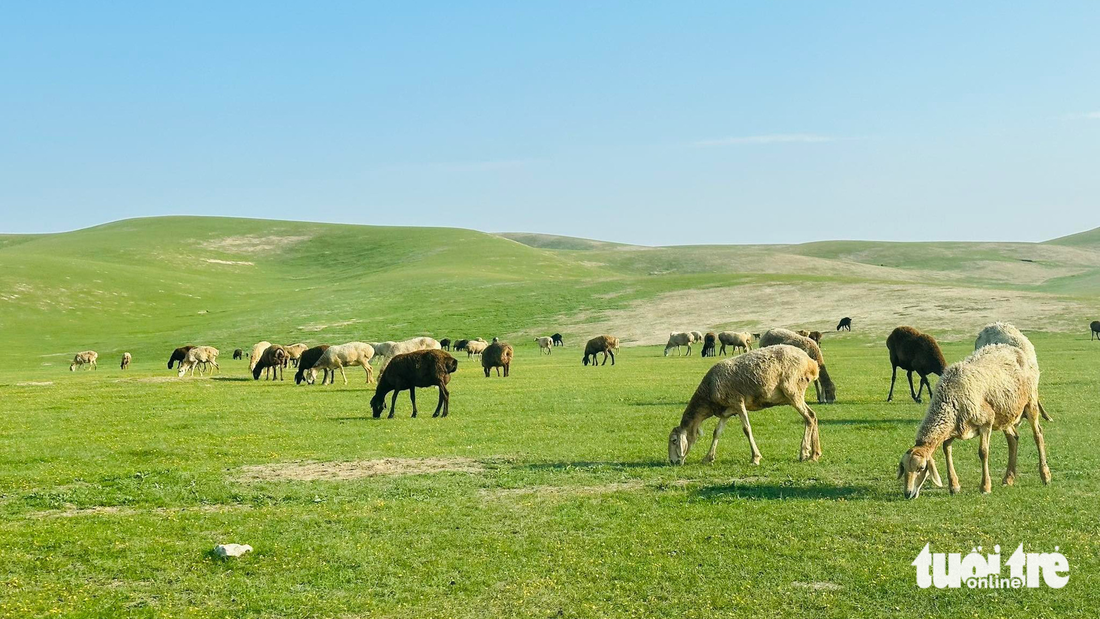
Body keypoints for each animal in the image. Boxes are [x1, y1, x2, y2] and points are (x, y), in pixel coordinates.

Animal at [664, 343, 822, 466]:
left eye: (674, 440)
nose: (672, 462)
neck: (707, 395)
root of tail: (811, 363)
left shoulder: (738, 402)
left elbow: (746, 429)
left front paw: (755, 458)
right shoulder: (726, 411)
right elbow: (717, 432)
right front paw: (708, 457)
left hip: (793, 390)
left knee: (808, 417)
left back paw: (804, 452)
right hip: (796, 393)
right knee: (813, 416)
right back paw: (815, 454)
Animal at [897, 343, 1051, 499]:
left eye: (921, 467)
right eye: (903, 467)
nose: (908, 494)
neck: (949, 400)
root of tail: (1013, 348)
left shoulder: (986, 422)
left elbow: (983, 452)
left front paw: (985, 487)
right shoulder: (954, 428)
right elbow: (947, 450)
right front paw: (954, 486)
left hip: (1030, 402)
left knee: (1038, 435)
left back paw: (1045, 475)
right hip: (1005, 413)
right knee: (1013, 439)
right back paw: (1008, 478)